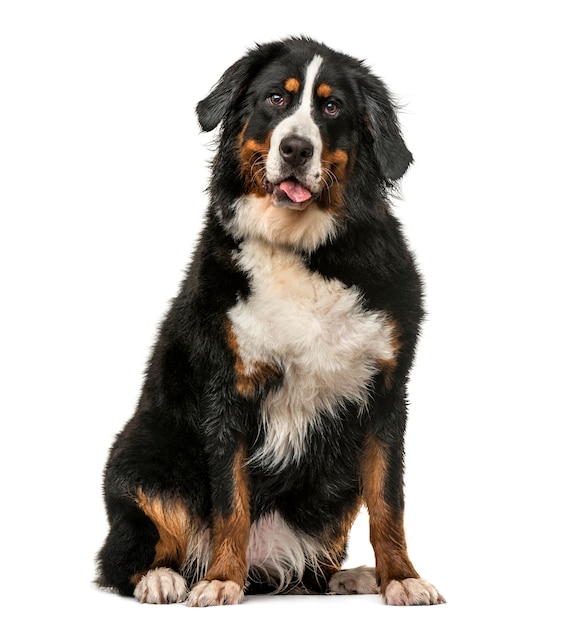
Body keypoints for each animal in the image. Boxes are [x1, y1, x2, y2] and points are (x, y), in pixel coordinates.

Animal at [98, 35, 448, 604]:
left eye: (332, 107)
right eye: (276, 100)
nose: (296, 149)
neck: (301, 249)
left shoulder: (386, 395)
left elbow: (387, 503)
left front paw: (402, 578)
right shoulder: (226, 390)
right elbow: (230, 503)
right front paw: (220, 580)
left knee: (319, 559)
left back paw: (349, 577)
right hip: (141, 453)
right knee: (128, 554)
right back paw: (164, 577)